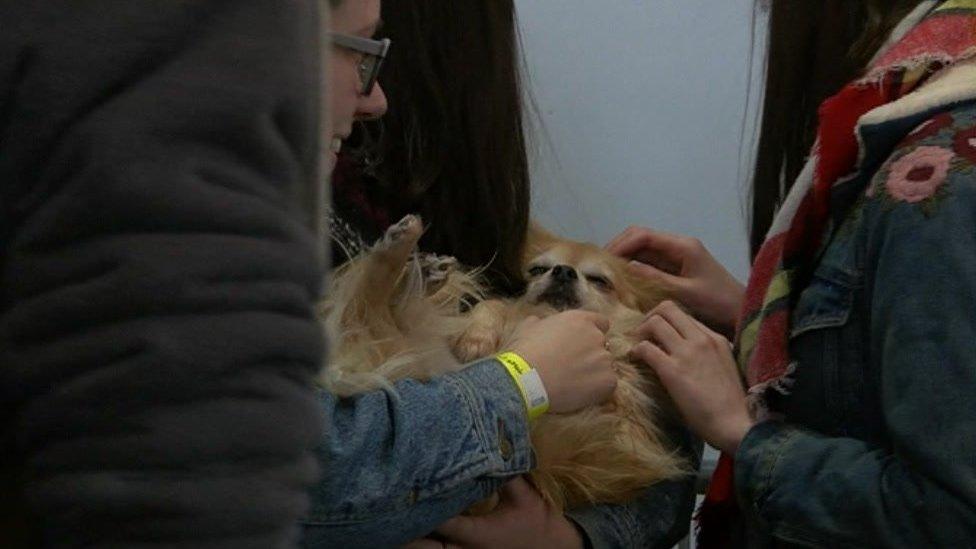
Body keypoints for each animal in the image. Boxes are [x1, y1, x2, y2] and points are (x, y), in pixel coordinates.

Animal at [320, 214, 688, 510]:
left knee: (370, 310)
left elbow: (621, 371)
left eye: (600, 281)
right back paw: (413, 264)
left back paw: (406, 259)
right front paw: (477, 337)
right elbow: (495, 305)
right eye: (537, 270)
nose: (563, 272)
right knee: (370, 306)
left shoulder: (626, 427)